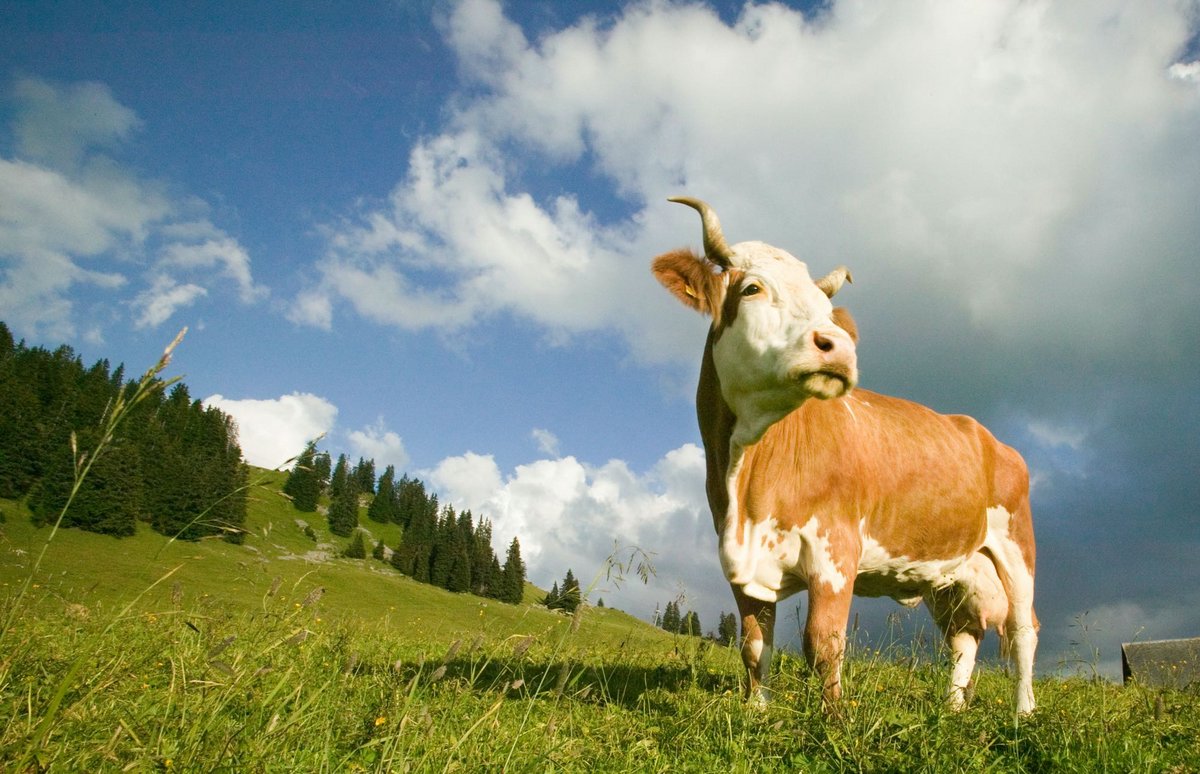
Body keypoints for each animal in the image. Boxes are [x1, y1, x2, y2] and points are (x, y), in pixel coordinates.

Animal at [652, 198, 1036, 710]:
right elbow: (754, 644)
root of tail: (988, 435)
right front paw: (756, 711)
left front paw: (834, 720)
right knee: (964, 637)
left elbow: (823, 642)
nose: (838, 347)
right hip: (952, 572)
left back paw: (1024, 712)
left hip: (1016, 544)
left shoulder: (836, 549)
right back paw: (953, 707)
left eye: (826, 311)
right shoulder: (740, 562)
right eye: (752, 288)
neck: (746, 480)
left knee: (1023, 629)